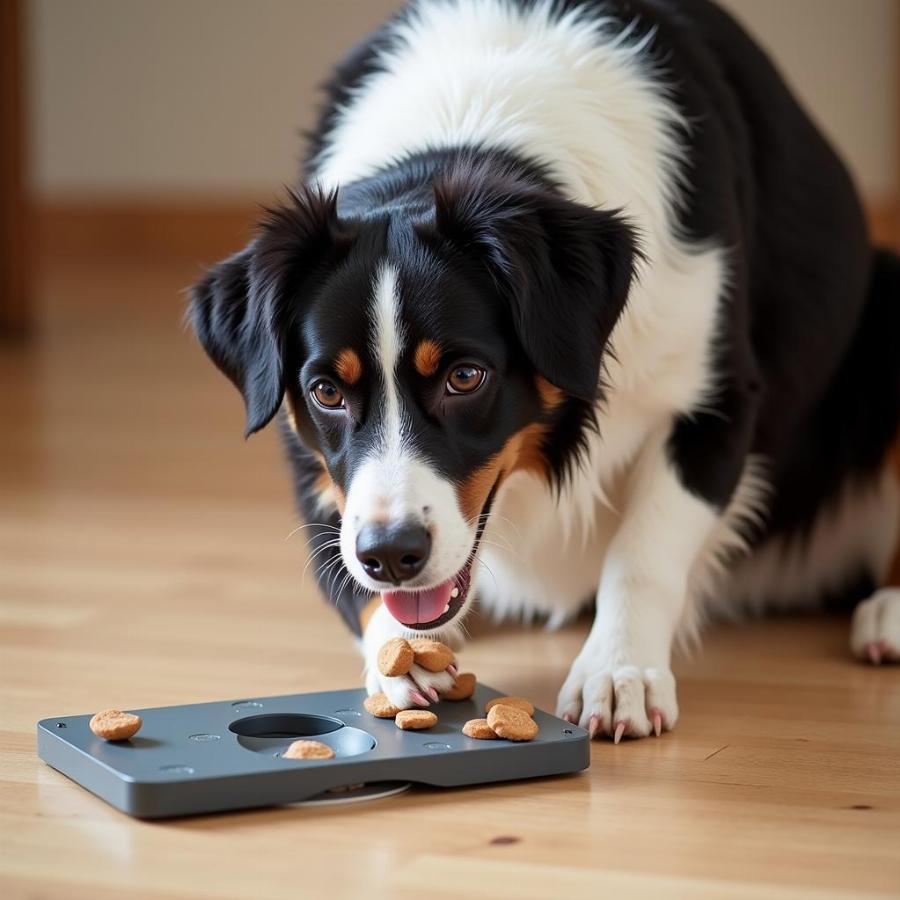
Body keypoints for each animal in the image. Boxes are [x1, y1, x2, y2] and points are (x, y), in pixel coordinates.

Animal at [190, 3, 900, 740]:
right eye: (327, 391)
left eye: (465, 378)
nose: (391, 554)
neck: (467, 120)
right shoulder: (310, 453)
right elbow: (344, 569)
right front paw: (399, 651)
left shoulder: (718, 401)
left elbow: (644, 549)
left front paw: (618, 670)